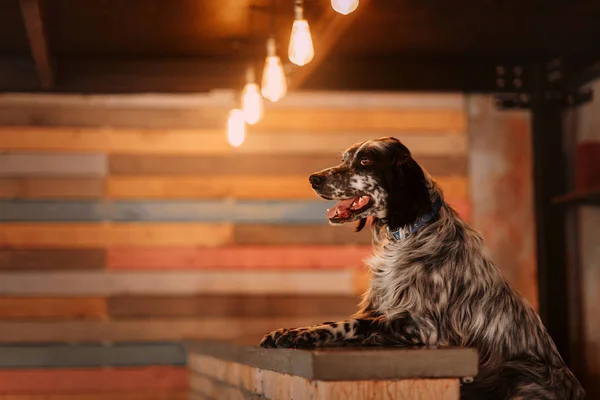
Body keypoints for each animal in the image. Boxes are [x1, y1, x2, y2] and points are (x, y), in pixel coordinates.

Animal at [258, 138, 584, 400]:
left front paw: (299, 336)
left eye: (365, 161)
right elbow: (336, 320)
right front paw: (290, 330)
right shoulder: (379, 309)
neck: (409, 233)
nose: (314, 178)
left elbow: (351, 325)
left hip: (517, 373)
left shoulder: (424, 329)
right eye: (344, 158)